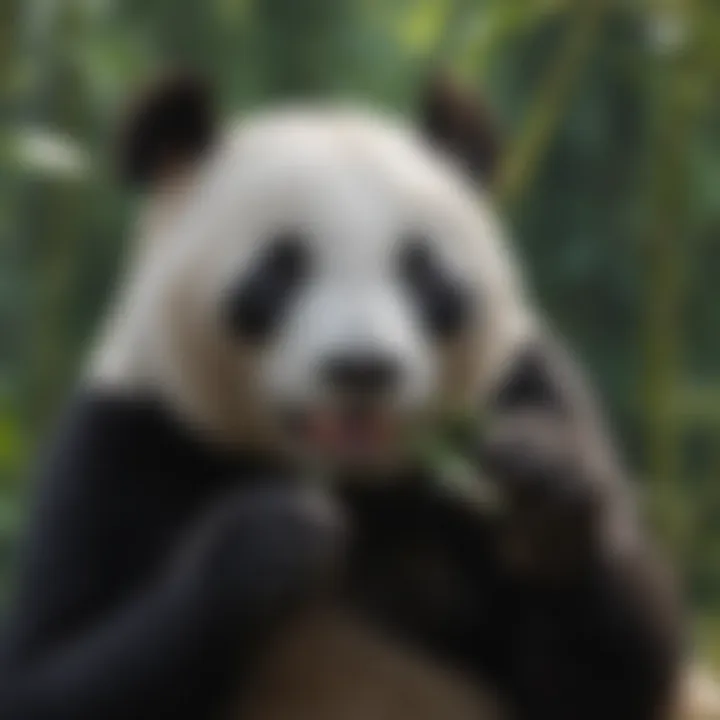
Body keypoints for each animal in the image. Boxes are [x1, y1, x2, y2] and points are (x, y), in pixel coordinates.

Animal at [0, 72, 684, 720]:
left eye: (422, 272)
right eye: (280, 270)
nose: (362, 368)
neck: (354, 484)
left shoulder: (525, 382)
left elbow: (610, 682)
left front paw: (541, 488)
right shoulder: (125, 440)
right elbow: (48, 674)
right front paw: (269, 540)